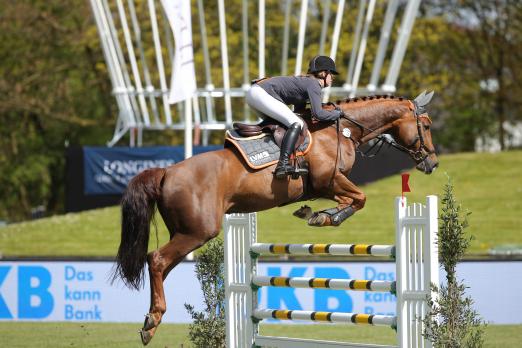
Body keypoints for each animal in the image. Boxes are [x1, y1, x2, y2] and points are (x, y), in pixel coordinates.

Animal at [112, 91, 434, 344]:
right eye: (427, 125)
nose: (431, 162)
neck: (341, 130)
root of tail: (166, 171)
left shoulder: (326, 186)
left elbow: (351, 199)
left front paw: (312, 213)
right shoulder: (328, 180)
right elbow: (359, 199)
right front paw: (323, 217)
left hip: (183, 232)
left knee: (160, 265)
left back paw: (149, 321)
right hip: (198, 232)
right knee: (156, 259)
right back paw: (153, 321)